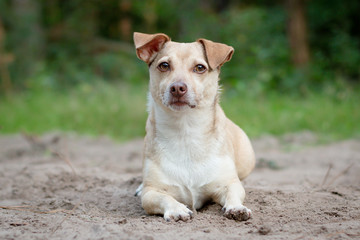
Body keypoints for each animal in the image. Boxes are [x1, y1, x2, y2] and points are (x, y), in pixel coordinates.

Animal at [134, 32, 255, 222]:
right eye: (164, 65)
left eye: (200, 68)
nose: (177, 87)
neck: (185, 131)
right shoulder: (151, 193)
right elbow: (163, 197)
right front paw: (177, 209)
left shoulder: (229, 183)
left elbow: (234, 192)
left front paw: (237, 208)